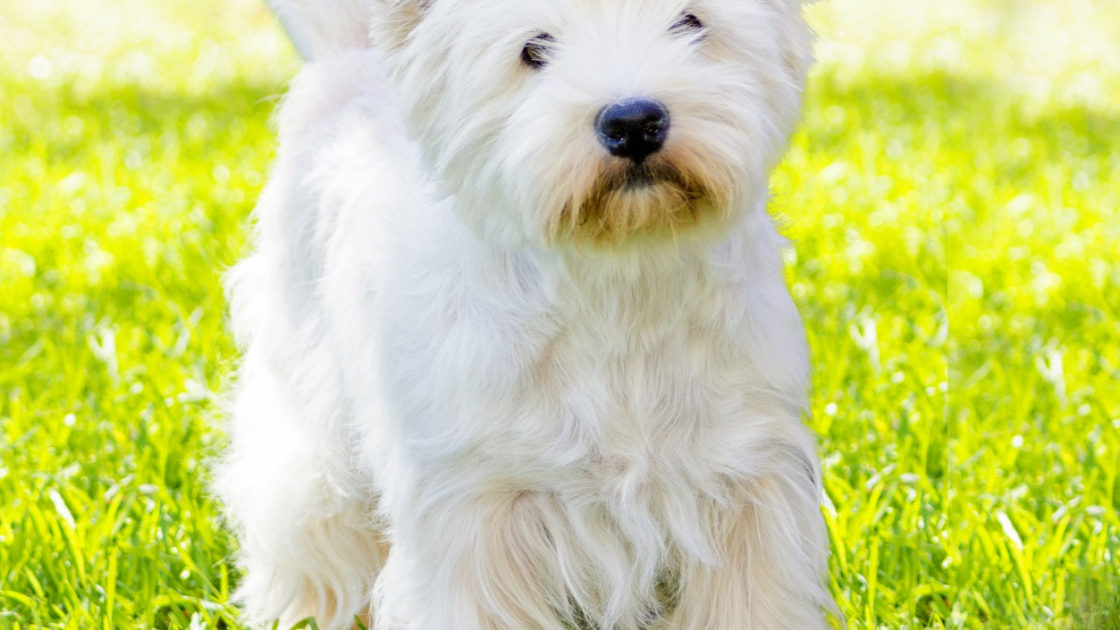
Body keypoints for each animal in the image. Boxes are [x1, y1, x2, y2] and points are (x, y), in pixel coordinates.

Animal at [216, 0, 833, 623]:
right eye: (533, 49)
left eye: (691, 23)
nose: (634, 121)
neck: (621, 287)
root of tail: (353, 59)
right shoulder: (474, 509)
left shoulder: (745, 482)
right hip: (312, 414)